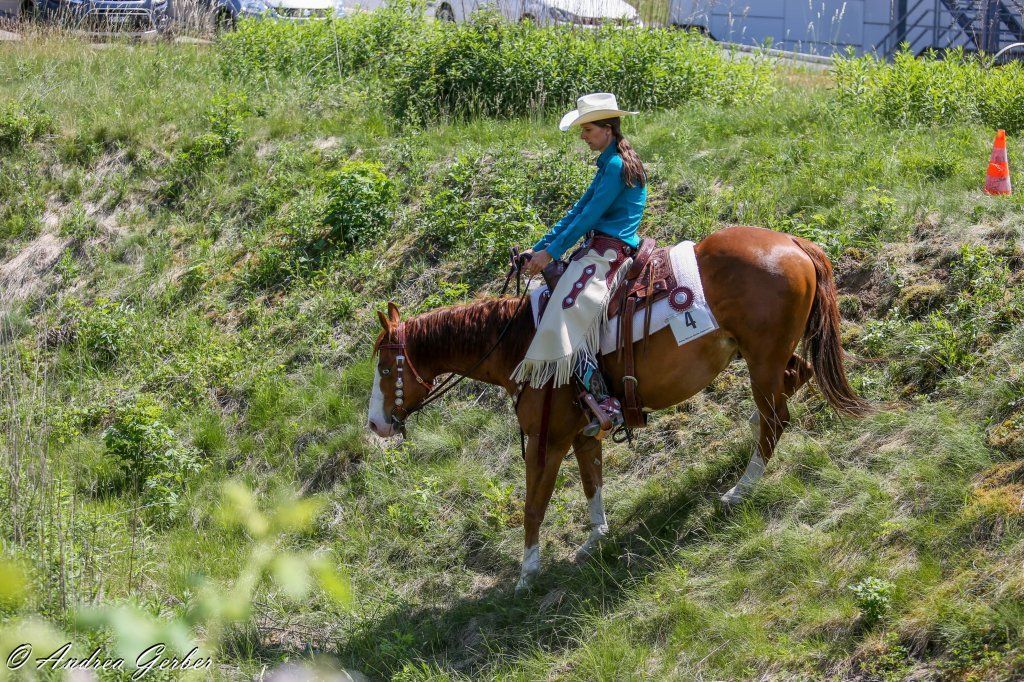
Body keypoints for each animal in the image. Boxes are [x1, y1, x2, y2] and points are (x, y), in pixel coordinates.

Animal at [367, 225, 870, 592]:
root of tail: (793, 244)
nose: (375, 423)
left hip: (762, 360)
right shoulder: (583, 432)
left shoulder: (548, 440)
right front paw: (595, 538)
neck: (520, 343)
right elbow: (592, 482)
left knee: (776, 417)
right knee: (797, 379)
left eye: (386, 367)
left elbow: (533, 505)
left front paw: (528, 573)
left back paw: (740, 489)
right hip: (767, 356)